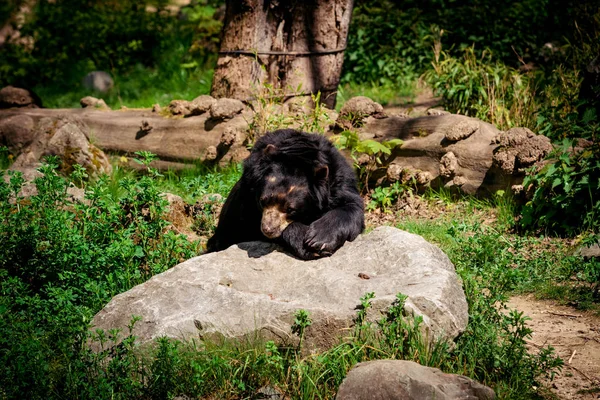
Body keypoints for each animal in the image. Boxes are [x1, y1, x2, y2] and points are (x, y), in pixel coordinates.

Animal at [206, 128, 366, 260]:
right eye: (262, 201)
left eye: (291, 209)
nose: (268, 229)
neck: (299, 156)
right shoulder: (246, 192)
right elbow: (247, 226)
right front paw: (308, 246)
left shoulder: (339, 181)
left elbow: (351, 206)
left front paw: (319, 240)